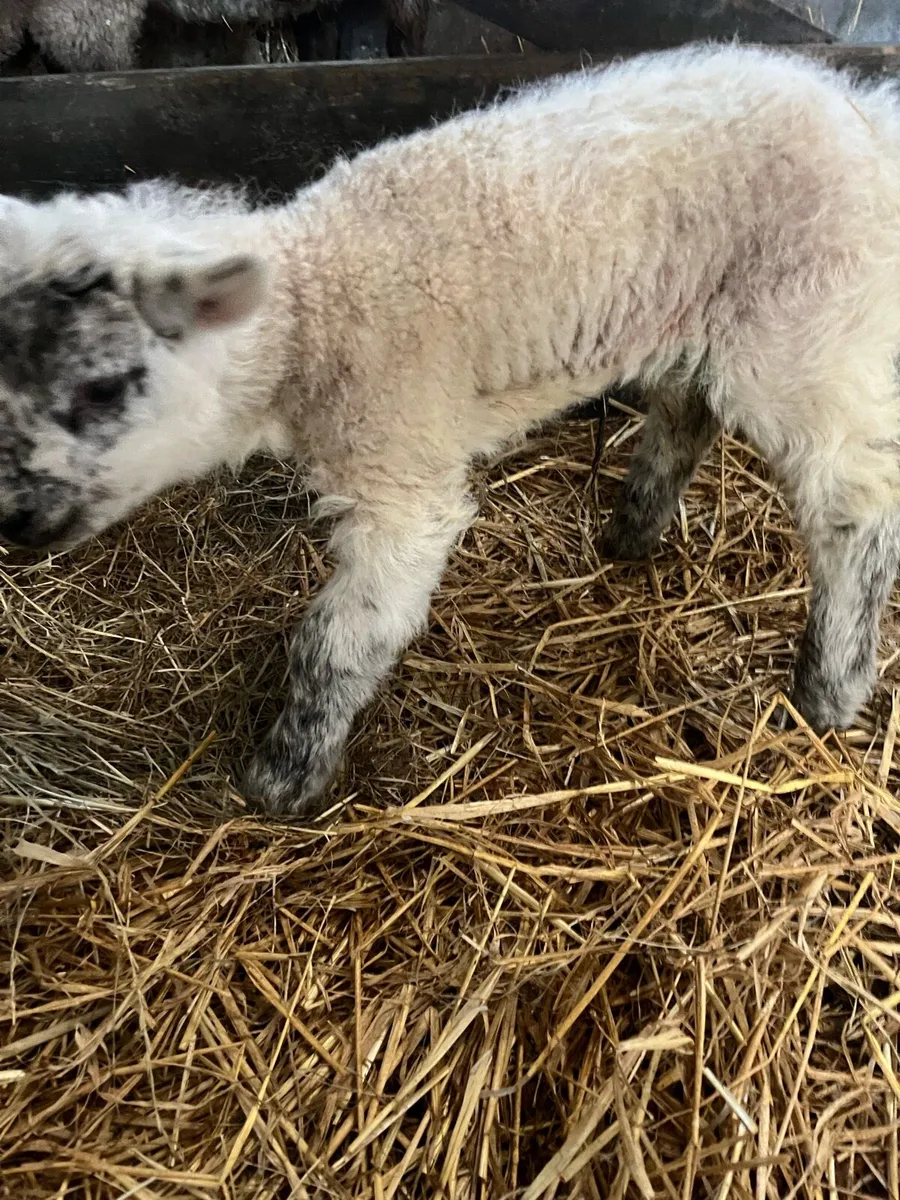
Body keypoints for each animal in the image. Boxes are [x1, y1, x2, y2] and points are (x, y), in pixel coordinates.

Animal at [2, 43, 900, 816]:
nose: (16, 520)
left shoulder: (402, 474)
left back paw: (827, 694)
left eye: (104, 387)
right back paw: (631, 534)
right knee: (688, 412)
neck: (315, 307)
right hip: (701, 310)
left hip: (806, 322)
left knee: (856, 507)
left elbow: (336, 642)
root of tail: (861, 106)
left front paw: (283, 779)